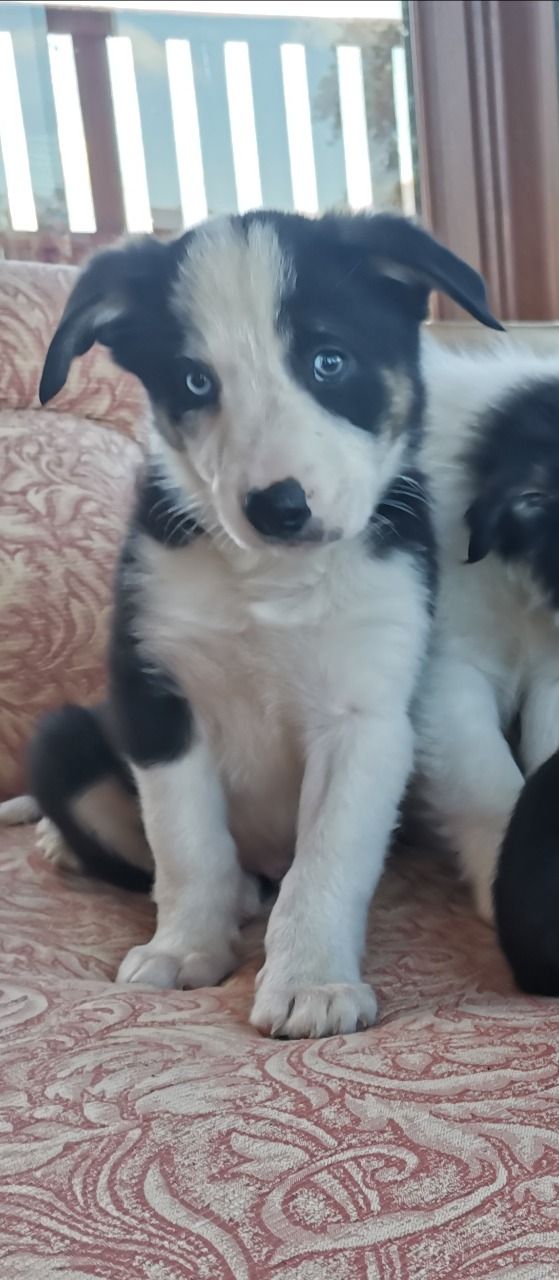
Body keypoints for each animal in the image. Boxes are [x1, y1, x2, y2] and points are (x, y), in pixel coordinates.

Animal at [29, 215, 496, 1034]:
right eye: (195, 381)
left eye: (328, 360)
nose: (278, 508)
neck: (270, 584)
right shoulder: (155, 697)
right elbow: (186, 844)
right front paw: (185, 947)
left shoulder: (364, 715)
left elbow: (329, 860)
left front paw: (311, 980)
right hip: (66, 739)